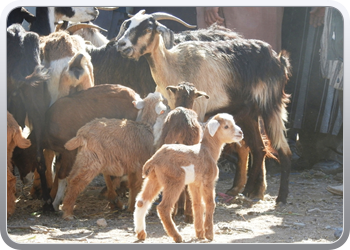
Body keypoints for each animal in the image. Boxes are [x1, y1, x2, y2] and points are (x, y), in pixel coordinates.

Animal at [60, 91, 167, 219]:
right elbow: (139, 186)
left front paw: (131, 207)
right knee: (77, 181)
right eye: (162, 100)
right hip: (92, 160)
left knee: (70, 178)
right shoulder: (141, 165)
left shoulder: (132, 167)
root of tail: (82, 134)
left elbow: (132, 186)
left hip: (83, 157)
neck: (146, 126)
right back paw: (68, 213)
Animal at [134, 113, 243, 242]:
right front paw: (209, 235)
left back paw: (141, 234)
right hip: (174, 180)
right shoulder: (208, 181)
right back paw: (177, 236)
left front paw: (200, 233)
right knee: (163, 207)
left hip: (154, 179)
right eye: (226, 126)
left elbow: (197, 204)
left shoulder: (194, 184)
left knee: (141, 202)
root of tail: (154, 159)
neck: (208, 151)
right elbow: (210, 203)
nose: (241, 133)